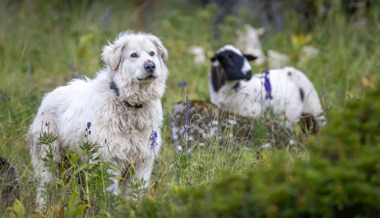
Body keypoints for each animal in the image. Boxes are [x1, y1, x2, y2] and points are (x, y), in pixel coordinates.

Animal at [27, 31, 169, 204]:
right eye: (133, 55)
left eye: (152, 53)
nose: (150, 66)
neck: (128, 104)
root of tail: (47, 96)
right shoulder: (110, 161)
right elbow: (111, 195)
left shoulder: (143, 162)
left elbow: (135, 194)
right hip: (48, 158)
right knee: (43, 188)